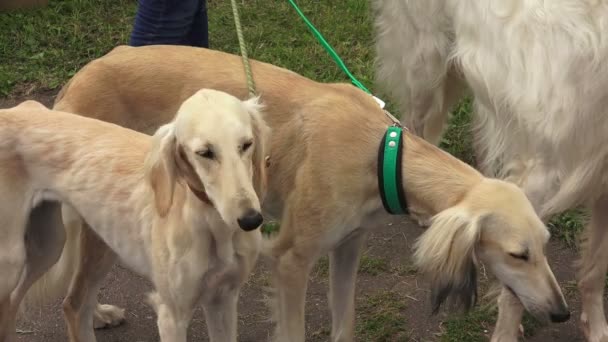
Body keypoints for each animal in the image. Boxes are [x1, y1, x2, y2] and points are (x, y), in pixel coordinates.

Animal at [0, 89, 270, 342]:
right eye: (205, 152)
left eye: (246, 144)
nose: (251, 220)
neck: (211, 221)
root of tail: (12, 111)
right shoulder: (172, 314)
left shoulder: (223, 299)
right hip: (12, 260)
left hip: (53, 245)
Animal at [27, 46, 568, 342]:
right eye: (517, 254)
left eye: (544, 247)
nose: (562, 313)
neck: (381, 150)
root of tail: (83, 73)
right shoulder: (290, 259)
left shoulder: (349, 245)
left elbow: (345, 323)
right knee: (72, 294)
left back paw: (100, 312)